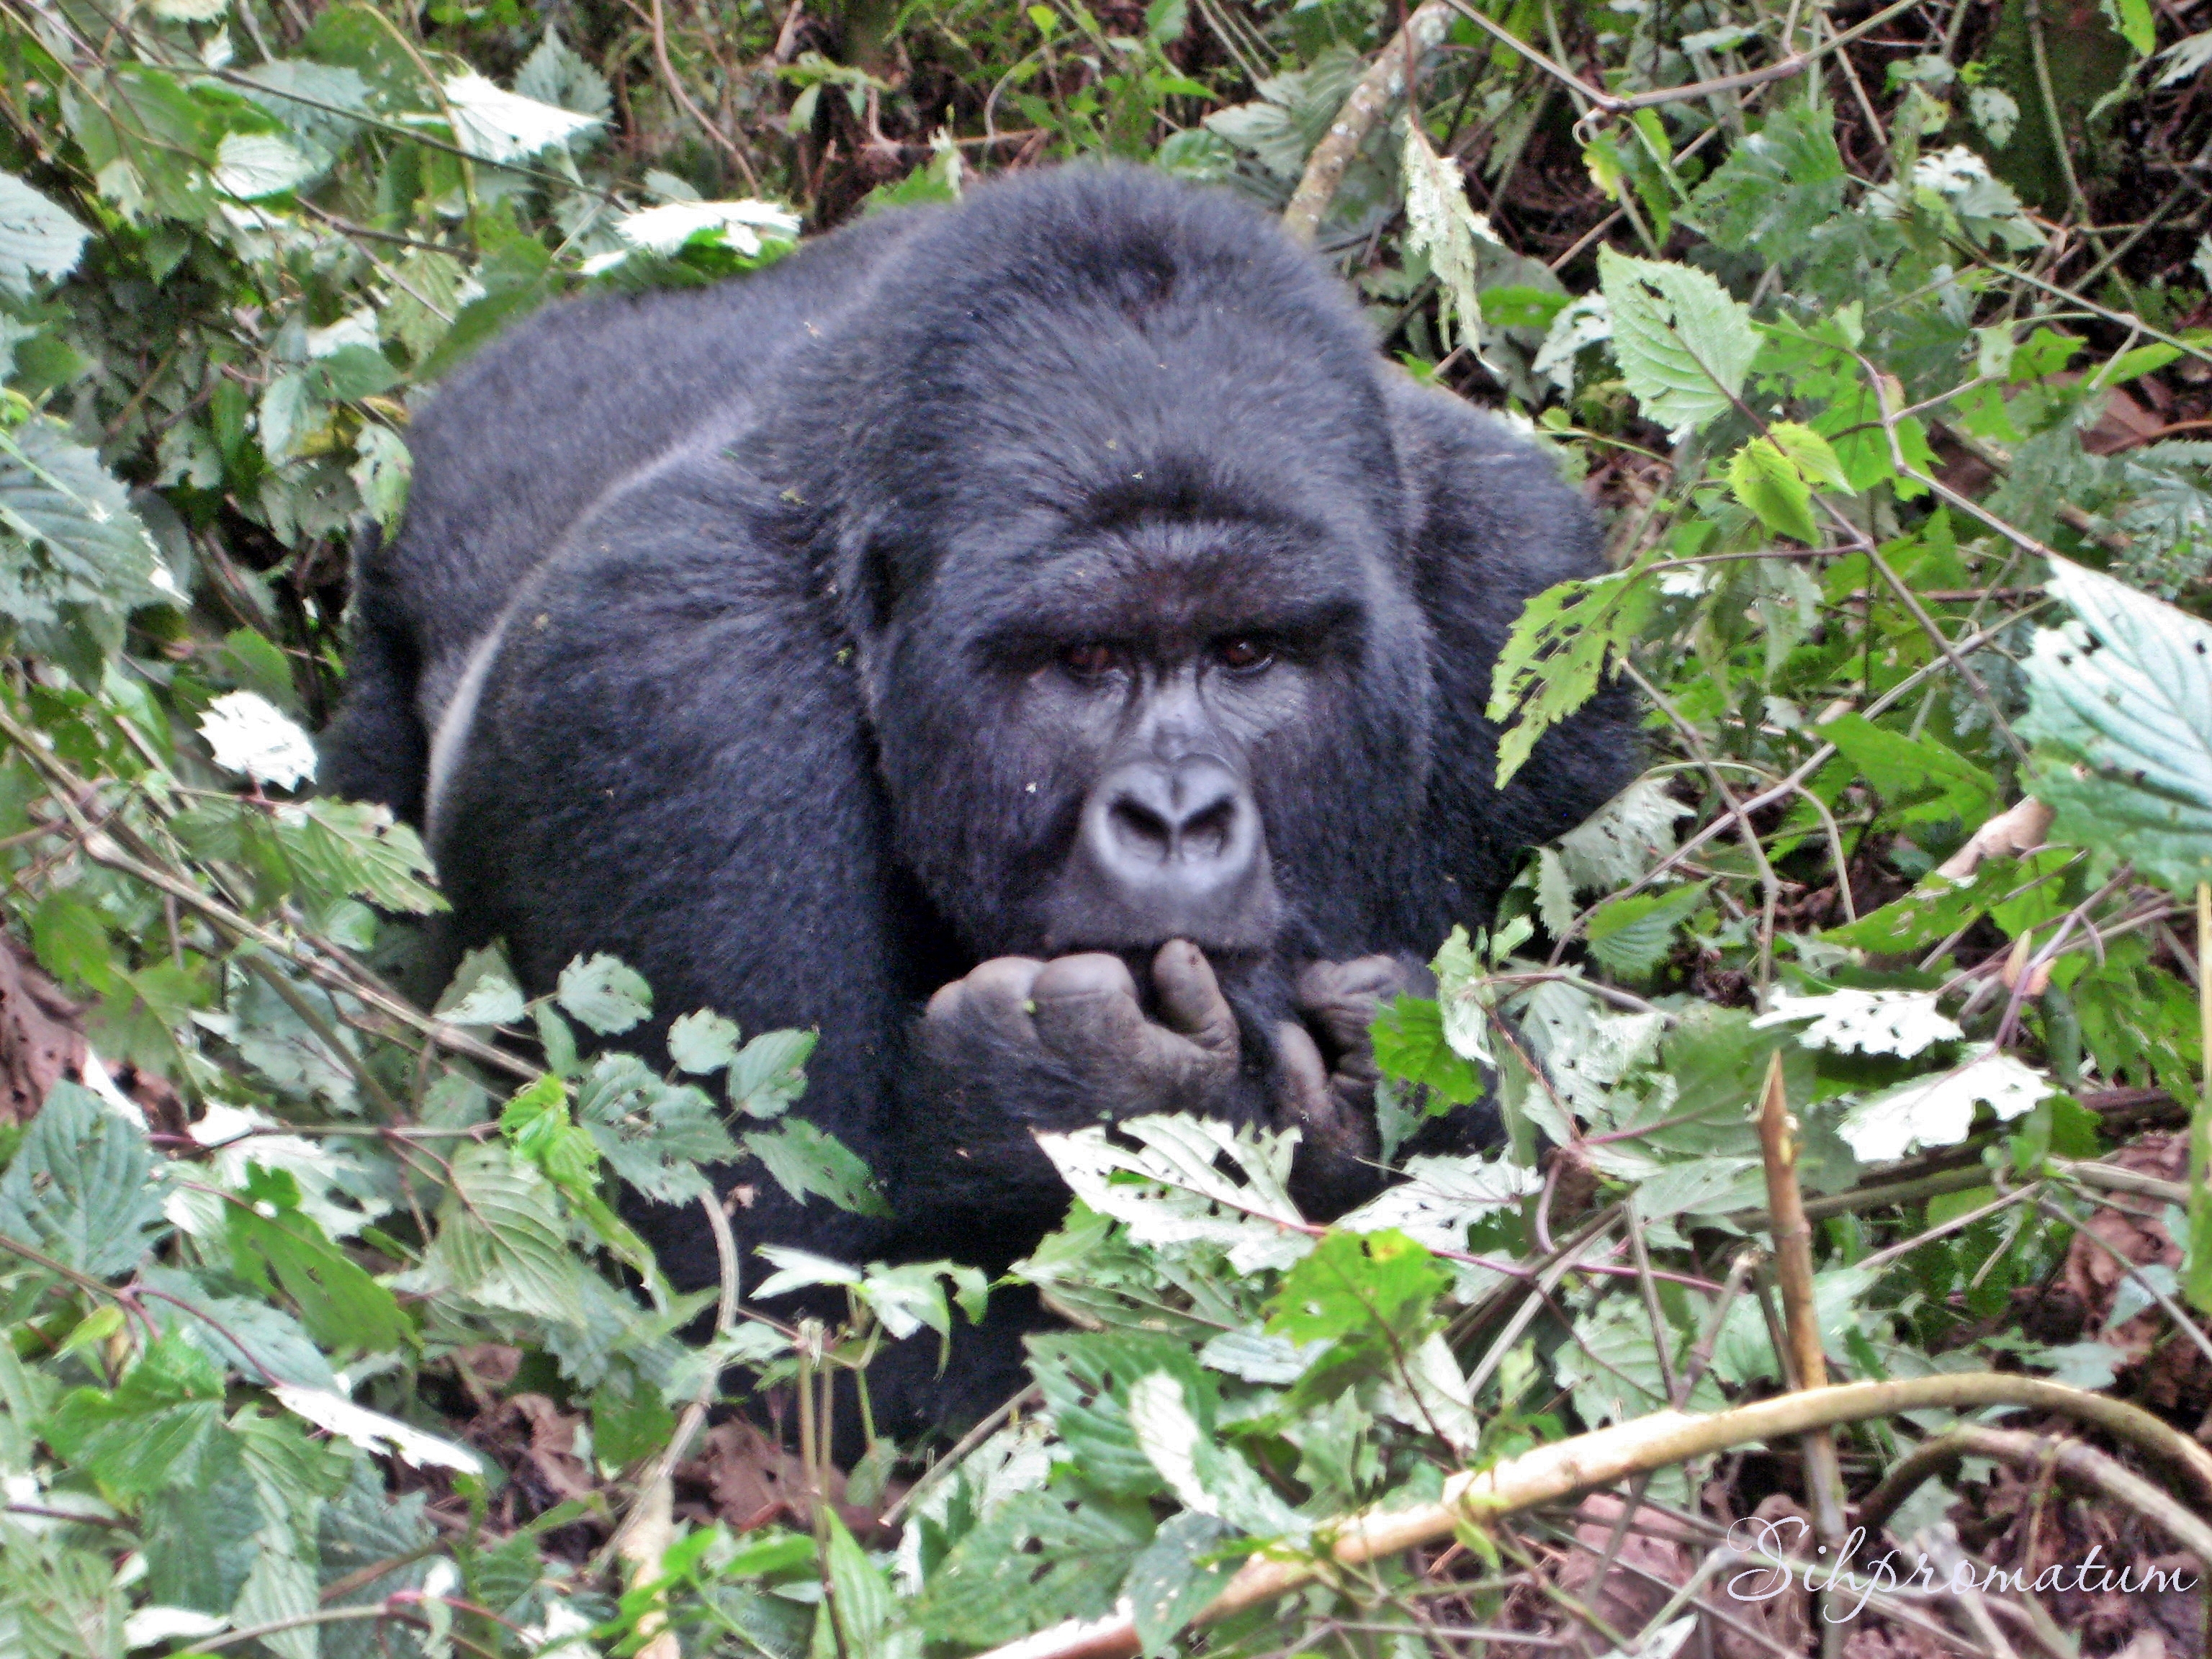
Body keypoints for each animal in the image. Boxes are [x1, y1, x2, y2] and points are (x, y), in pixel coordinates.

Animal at [320, 166, 1637, 1442]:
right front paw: (1083, 1091)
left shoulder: (1528, 579)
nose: (1175, 819)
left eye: (1247, 650)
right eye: (1084, 661)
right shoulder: (671, 692)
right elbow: (786, 1304)